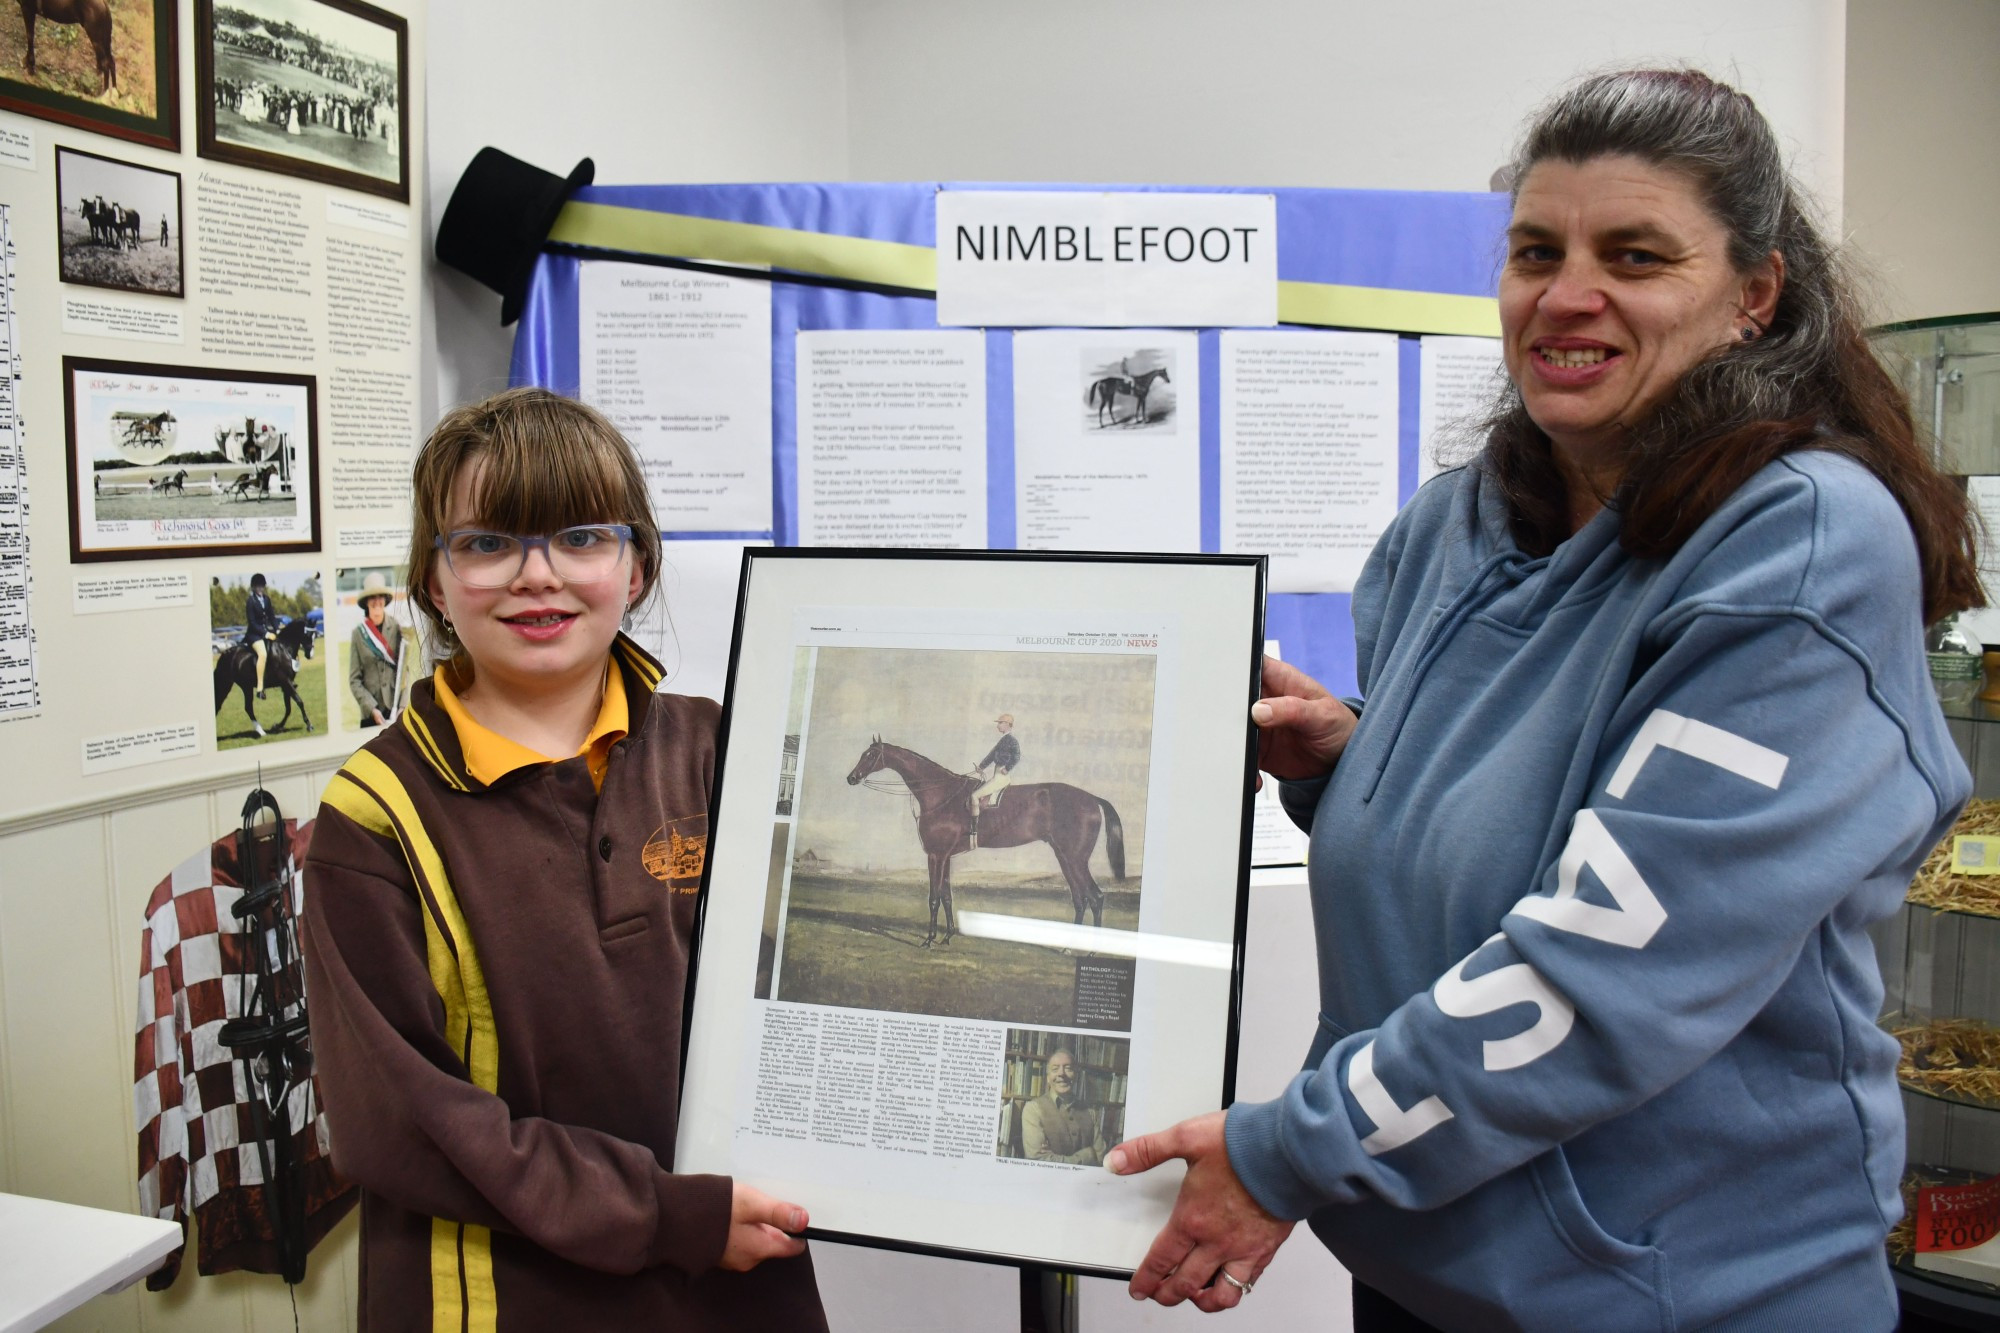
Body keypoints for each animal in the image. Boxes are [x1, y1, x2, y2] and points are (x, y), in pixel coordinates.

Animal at [844, 736, 1128, 944]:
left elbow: (934, 897)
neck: (941, 794)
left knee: (1096, 897)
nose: (851, 778)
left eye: (870, 755)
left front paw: (930, 939)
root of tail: (1091, 798)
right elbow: (947, 896)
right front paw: (948, 936)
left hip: (1076, 859)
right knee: (1080, 899)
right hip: (1065, 857)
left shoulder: (936, 855)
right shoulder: (946, 856)